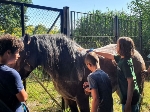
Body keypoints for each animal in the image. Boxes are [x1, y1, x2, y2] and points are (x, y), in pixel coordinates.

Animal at [13, 34, 146, 112]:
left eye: (20, 53)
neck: (68, 65)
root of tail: (136, 53)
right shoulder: (69, 99)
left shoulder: (82, 99)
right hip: (120, 90)